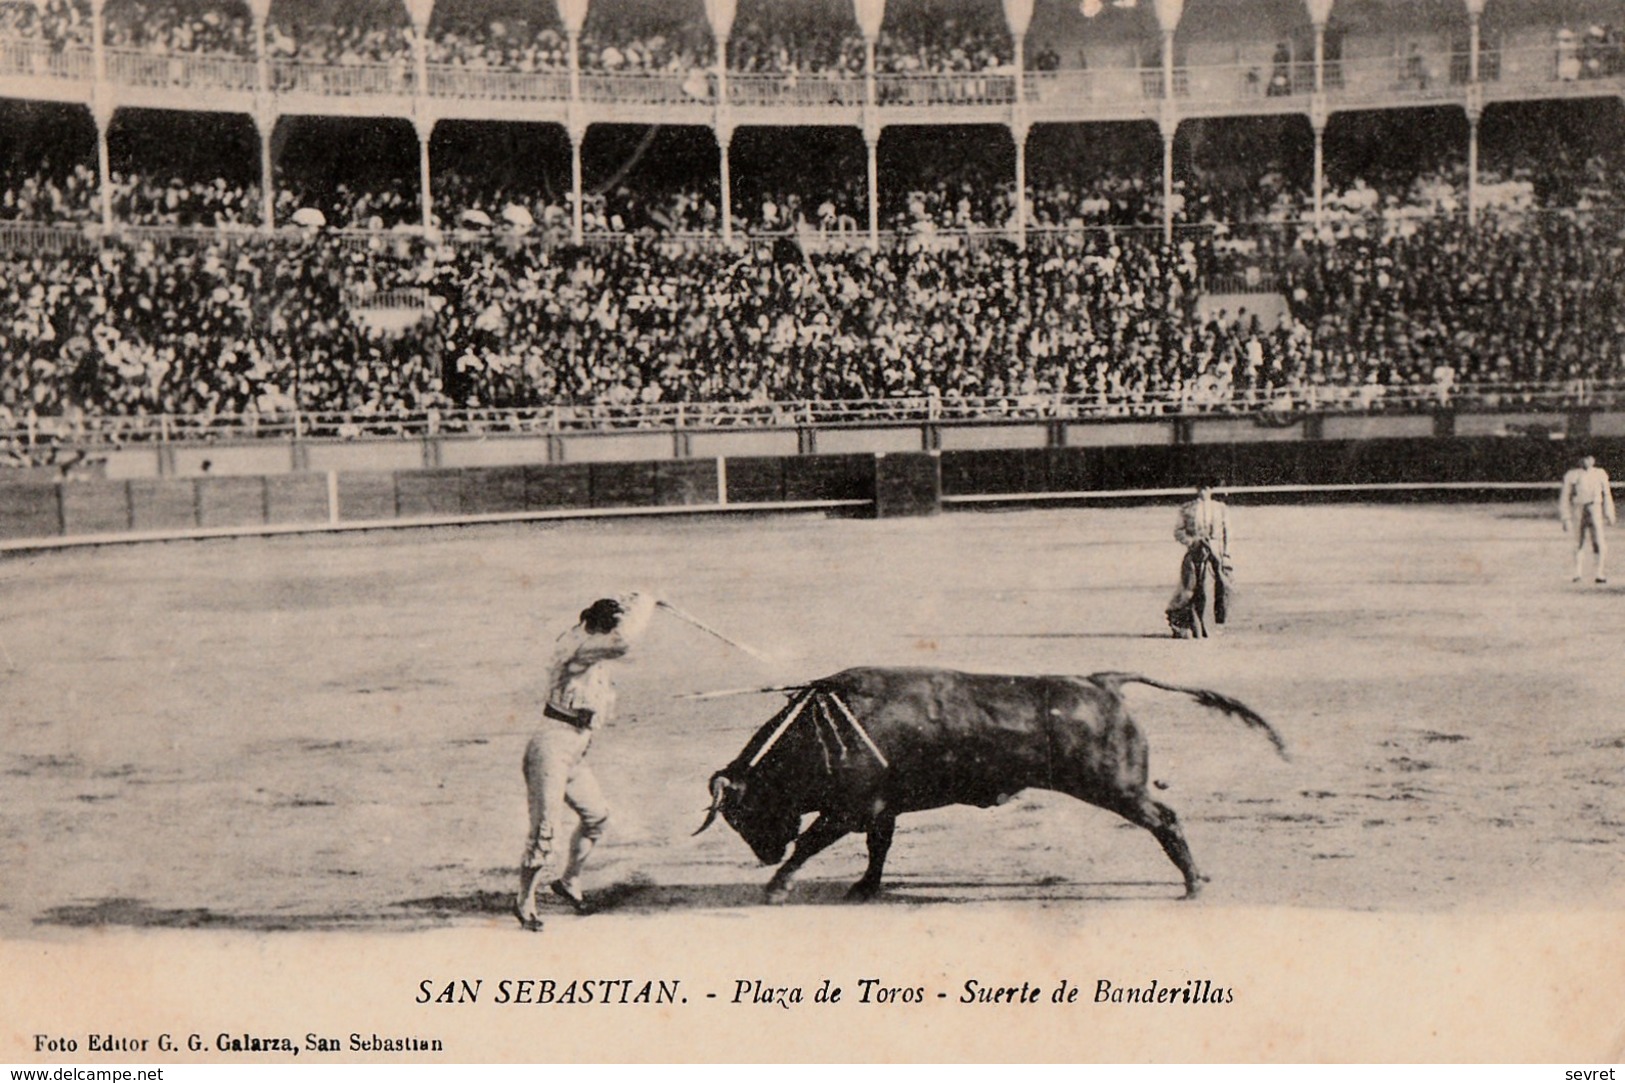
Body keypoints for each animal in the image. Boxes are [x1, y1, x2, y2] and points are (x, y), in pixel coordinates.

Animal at [692, 663, 1287, 897]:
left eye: (742, 811)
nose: (764, 854)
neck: (822, 728)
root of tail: (1102, 681)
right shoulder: (882, 808)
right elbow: (879, 848)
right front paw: (864, 887)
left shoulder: (850, 808)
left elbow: (813, 844)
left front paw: (776, 886)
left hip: (1118, 788)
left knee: (1165, 819)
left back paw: (1192, 883)